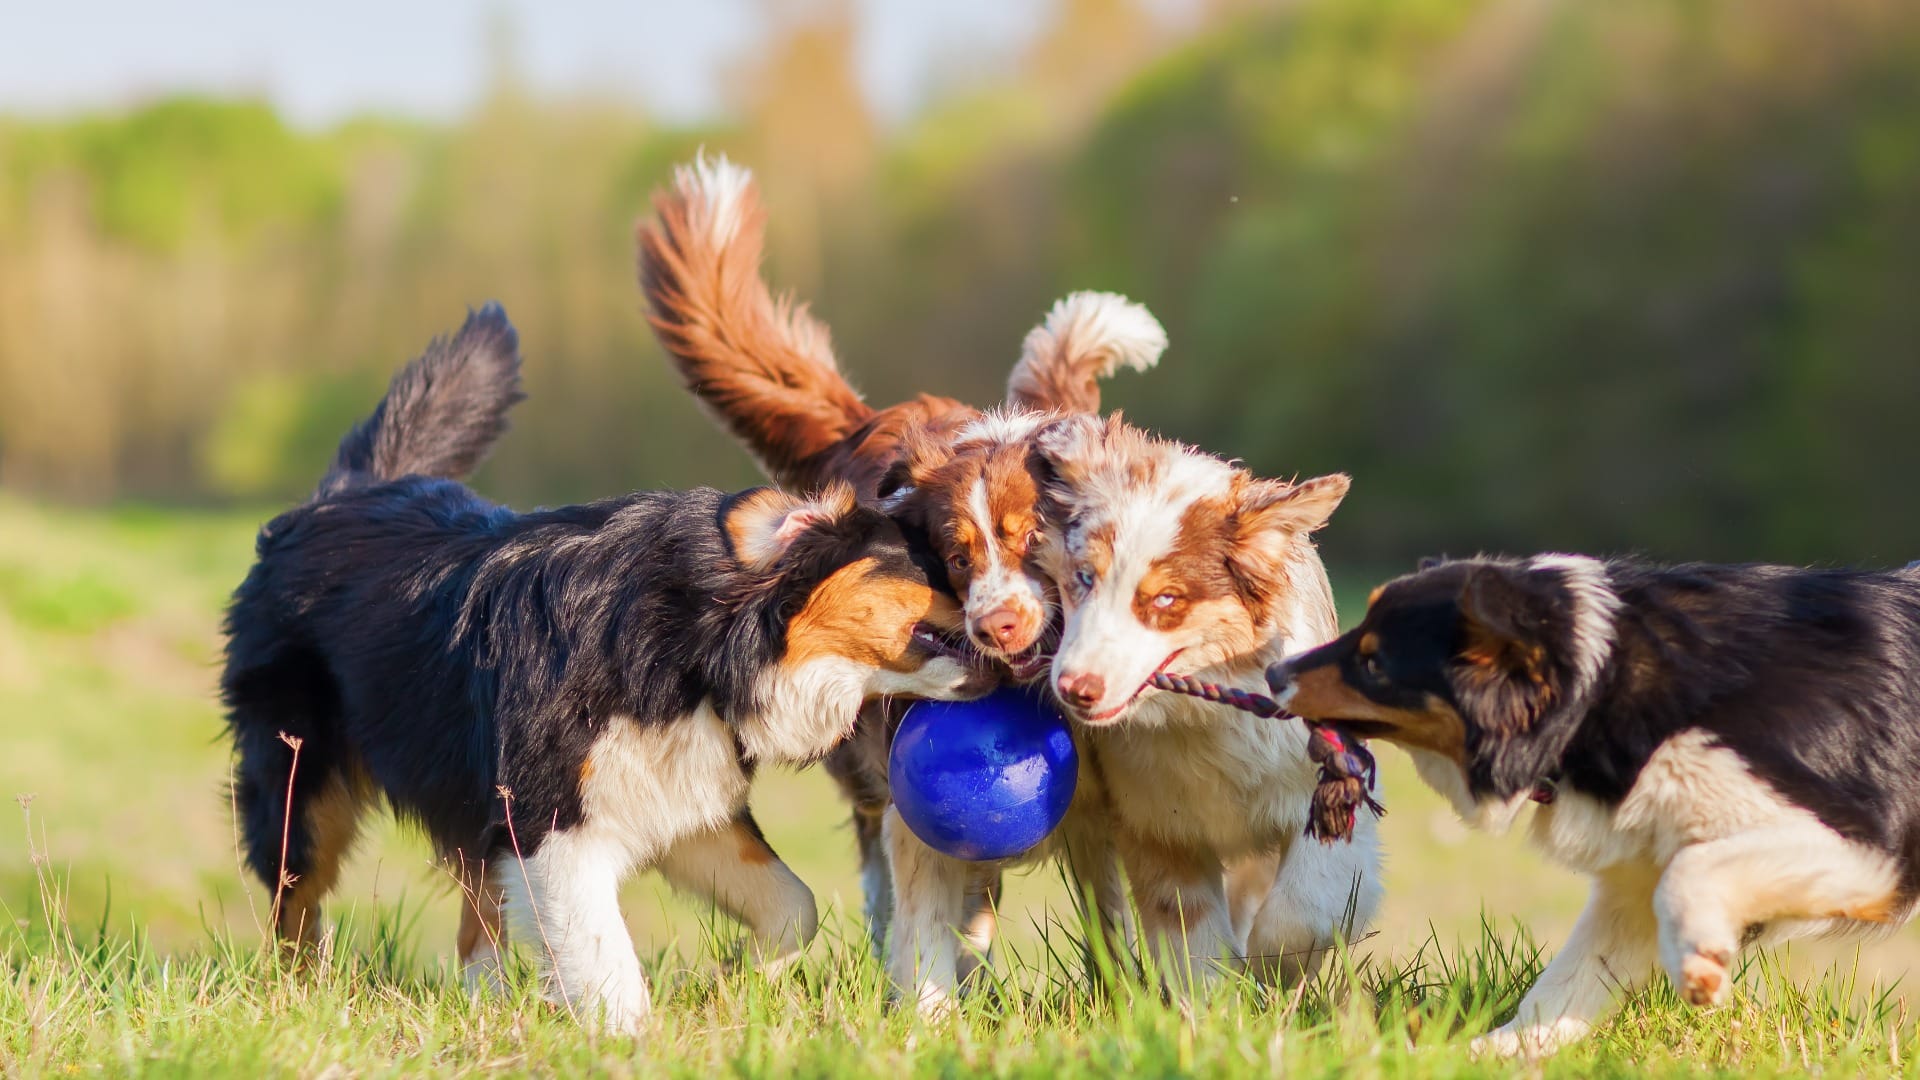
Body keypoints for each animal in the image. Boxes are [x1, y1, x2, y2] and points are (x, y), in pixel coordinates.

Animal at [226, 303, 998, 1022]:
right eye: (933, 557)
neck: (686, 644)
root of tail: (339, 493)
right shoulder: (554, 821)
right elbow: (606, 960)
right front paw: (630, 1037)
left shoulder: (686, 798)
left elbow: (793, 906)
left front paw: (731, 983)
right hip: (301, 787)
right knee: (295, 906)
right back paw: (301, 997)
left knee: (476, 920)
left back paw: (488, 1006)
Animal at [637, 151, 1159, 999]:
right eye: (957, 556)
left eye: (1032, 538)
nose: (995, 625)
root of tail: (864, 423)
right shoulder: (904, 783)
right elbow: (922, 913)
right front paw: (928, 1009)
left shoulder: (1093, 807)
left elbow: (1106, 919)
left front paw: (1124, 1001)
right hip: (860, 760)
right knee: (886, 873)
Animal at [1029, 413, 1390, 991]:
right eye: (1084, 577)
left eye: (1165, 599)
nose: (1074, 688)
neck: (1201, 718)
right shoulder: (1155, 821)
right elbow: (1189, 935)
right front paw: (1213, 1002)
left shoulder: (1324, 787)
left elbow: (1302, 905)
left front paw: (1275, 970)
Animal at [1267, 553, 1920, 1053]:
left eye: (1374, 663)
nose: (1273, 672)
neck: (1598, 688)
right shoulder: (1635, 877)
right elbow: (1566, 981)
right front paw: (1484, 1055)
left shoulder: (1864, 844)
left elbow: (1692, 871)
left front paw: (1701, 963)